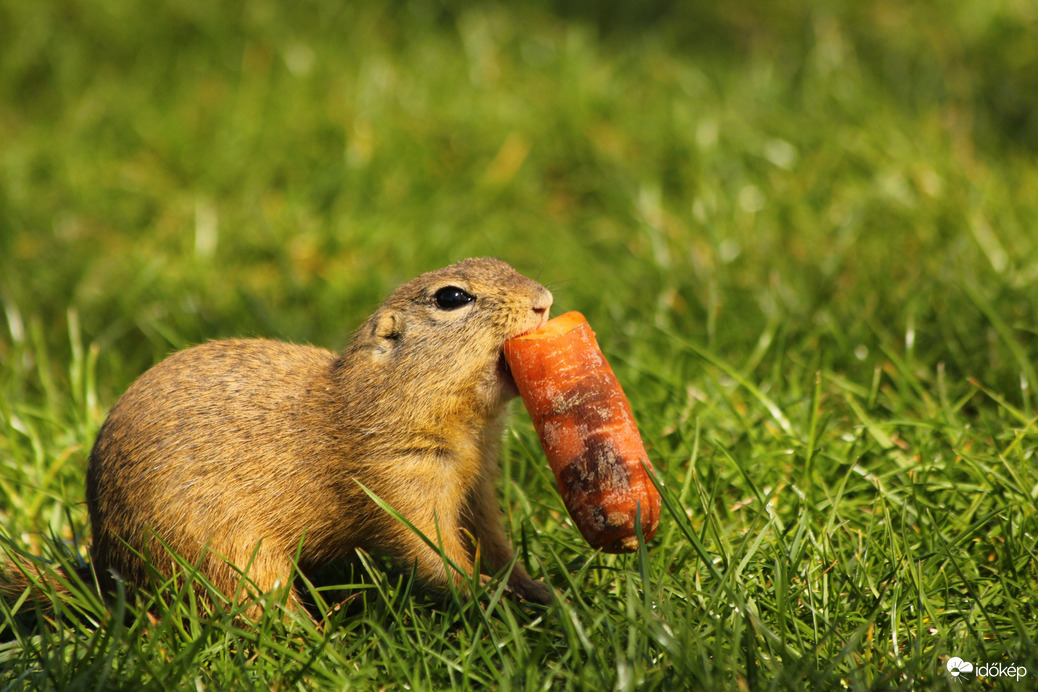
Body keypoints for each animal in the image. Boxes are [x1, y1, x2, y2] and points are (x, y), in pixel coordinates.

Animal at [4, 257, 556, 614]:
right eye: (452, 297)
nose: (545, 300)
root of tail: (107, 571)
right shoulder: (396, 478)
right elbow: (427, 547)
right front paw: (486, 596)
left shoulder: (477, 484)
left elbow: (493, 540)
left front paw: (537, 588)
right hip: (230, 556)